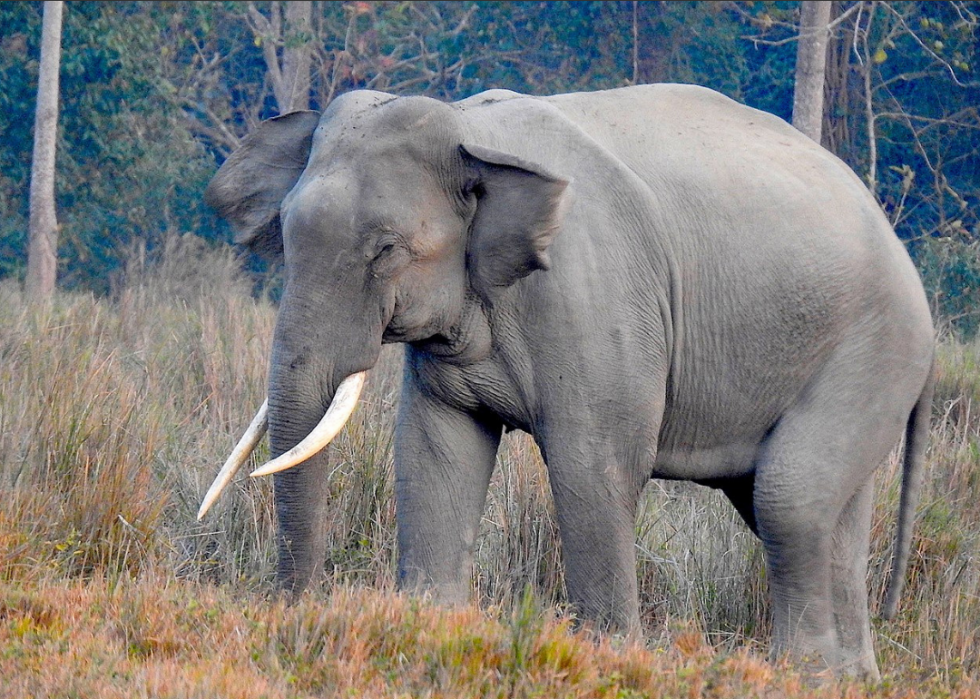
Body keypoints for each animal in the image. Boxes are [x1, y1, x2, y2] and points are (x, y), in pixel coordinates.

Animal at [197, 85, 936, 680]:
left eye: (386, 250)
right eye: (285, 235)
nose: (294, 614)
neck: (470, 128)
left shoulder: (594, 299)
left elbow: (595, 464)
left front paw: (611, 657)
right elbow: (434, 452)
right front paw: (427, 629)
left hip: (874, 346)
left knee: (789, 499)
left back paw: (802, 673)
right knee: (813, 508)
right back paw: (851, 675)